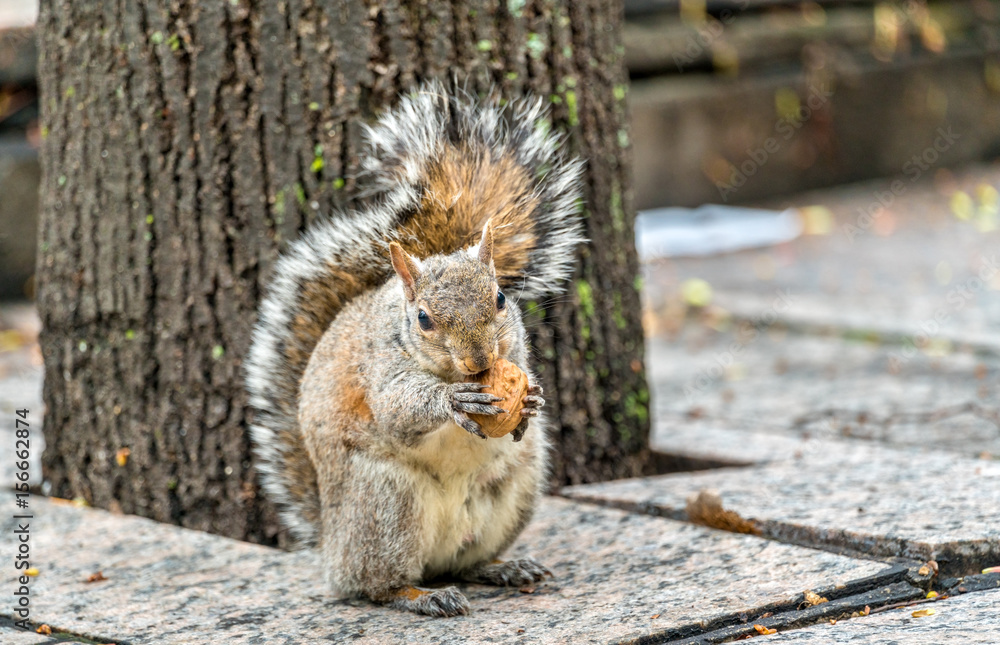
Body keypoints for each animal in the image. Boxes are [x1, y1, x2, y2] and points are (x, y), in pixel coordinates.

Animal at [245, 83, 584, 616]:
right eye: (423, 319)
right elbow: (398, 408)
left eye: (501, 298)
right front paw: (452, 402)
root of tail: (331, 545)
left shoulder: (516, 348)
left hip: (515, 486)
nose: (480, 361)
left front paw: (530, 401)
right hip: (386, 503)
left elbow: (524, 371)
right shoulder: (379, 368)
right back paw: (422, 596)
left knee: (466, 563)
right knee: (374, 584)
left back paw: (503, 568)